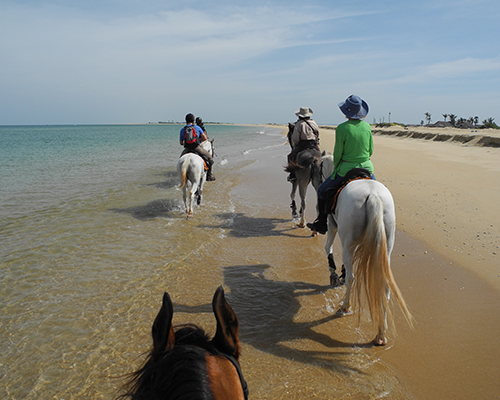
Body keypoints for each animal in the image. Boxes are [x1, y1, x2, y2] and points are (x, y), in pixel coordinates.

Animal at [322, 155, 412, 346]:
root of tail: (373, 196)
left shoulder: (332, 224)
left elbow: (328, 248)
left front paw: (334, 275)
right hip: (387, 244)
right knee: (384, 285)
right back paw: (381, 333)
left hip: (348, 243)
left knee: (352, 277)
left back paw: (345, 306)